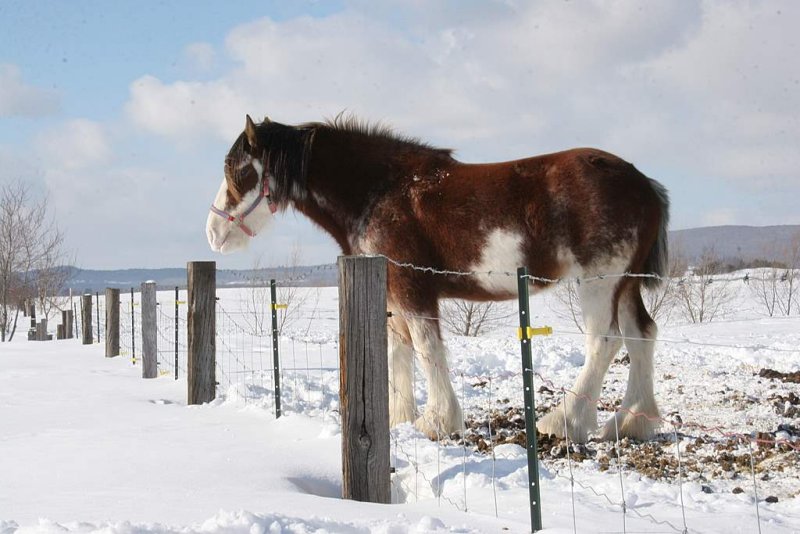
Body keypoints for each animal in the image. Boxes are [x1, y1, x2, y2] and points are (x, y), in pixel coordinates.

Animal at [206, 116, 668, 444]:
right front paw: (399, 417)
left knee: (605, 342)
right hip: (626, 284)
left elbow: (427, 348)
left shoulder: (412, 288)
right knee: (641, 335)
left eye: (240, 171)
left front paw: (437, 420)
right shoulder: (389, 290)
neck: (379, 191)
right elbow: (398, 349)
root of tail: (646, 185)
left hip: (600, 282)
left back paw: (566, 421)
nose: (213, 233)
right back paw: (631, 422)